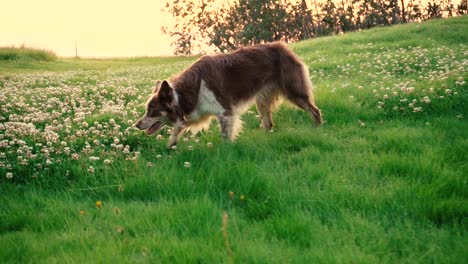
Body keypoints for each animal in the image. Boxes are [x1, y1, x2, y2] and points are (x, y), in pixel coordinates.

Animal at [135, 42, 322, 147]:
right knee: (268, 122)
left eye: (152, 111)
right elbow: (176, 130)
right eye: (147, 110)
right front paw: (170, 147)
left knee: (315, 110)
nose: (136, 125)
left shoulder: (225, 111)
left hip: (293, 91)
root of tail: (284, 47)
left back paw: (318, 129)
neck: (184, 93)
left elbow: (225, 136)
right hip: (262, 99)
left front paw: (226, 154)